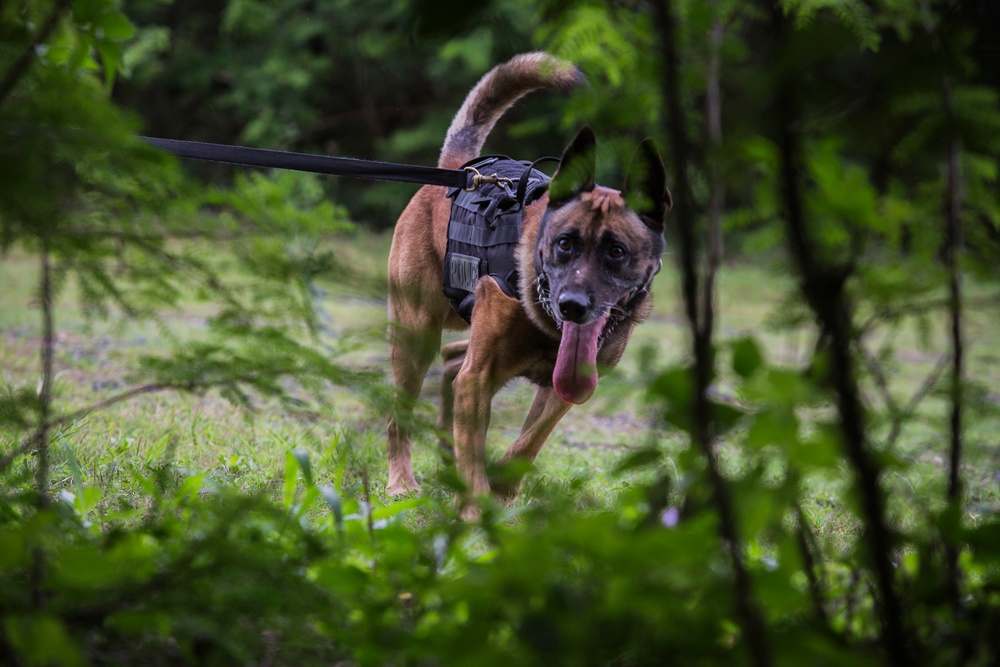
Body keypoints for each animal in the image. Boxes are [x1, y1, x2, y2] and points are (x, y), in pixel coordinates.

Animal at [382, 52, 672, 516]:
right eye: (564, 244)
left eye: (617, 252)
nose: (573, 305)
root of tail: (456, 170)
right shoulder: (479, 378)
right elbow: (478, 450)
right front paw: (476, 512)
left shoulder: (562, 388)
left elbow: (527, 444)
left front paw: (502, 486)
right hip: (416, 336)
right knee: (401, 413)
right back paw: (401, 482)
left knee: (452, 360)